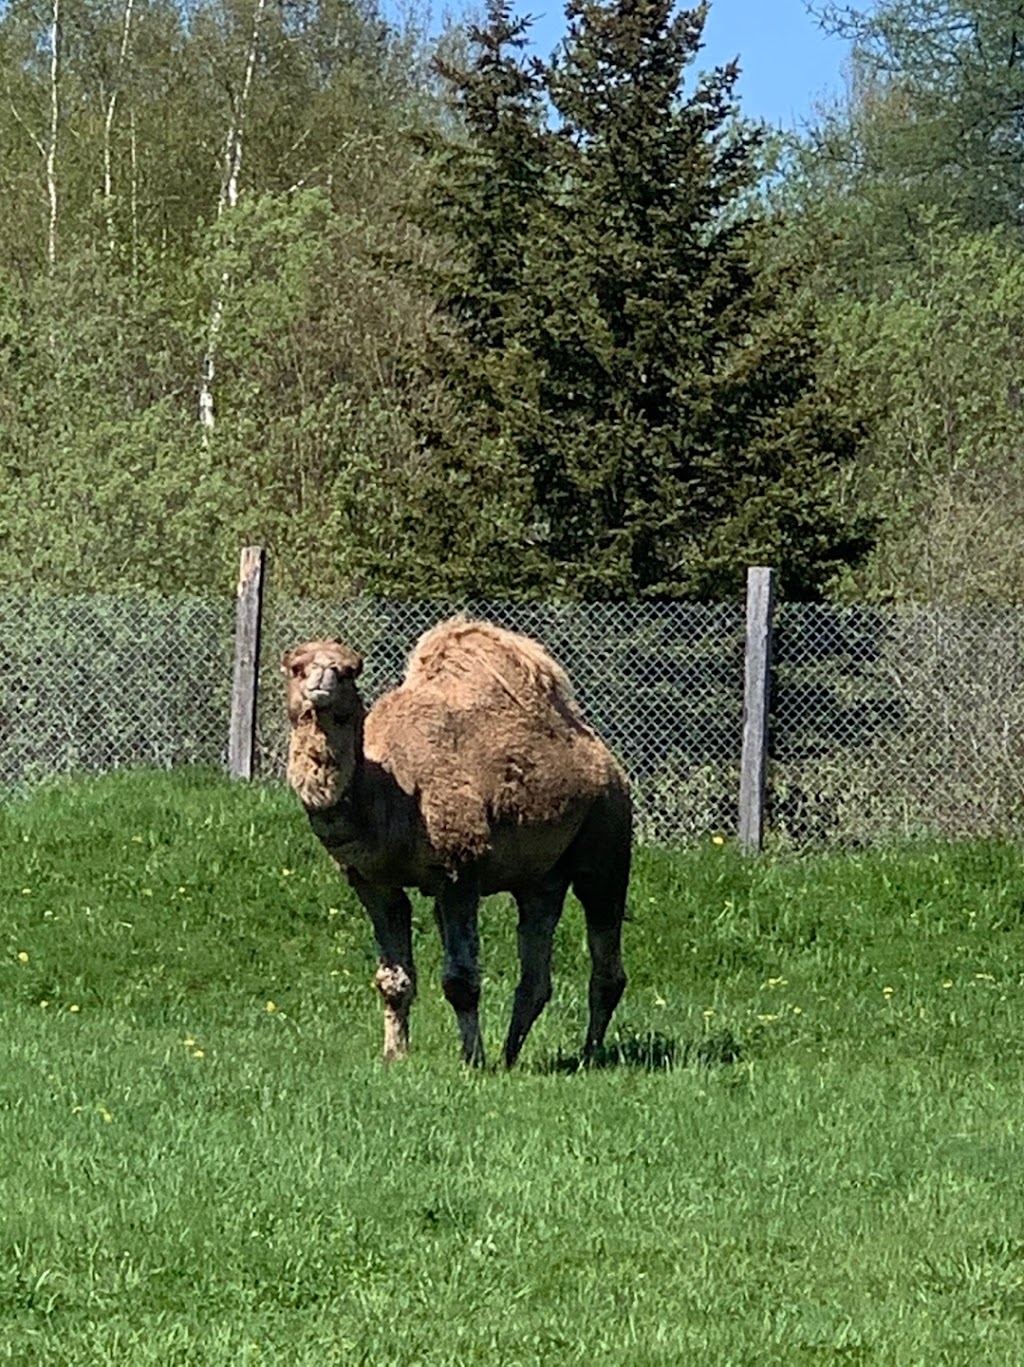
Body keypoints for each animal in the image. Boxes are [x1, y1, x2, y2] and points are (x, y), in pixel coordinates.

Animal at [281, 617, 631, 1066]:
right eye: (297, 667)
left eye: (347, 671)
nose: (321, 683)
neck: (391, 792)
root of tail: (608, 763)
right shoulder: (372, 881)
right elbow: (392, 979)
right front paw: (394, 1056)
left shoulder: (459, 870)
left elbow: (461, 980)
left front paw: (472, 1059)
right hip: (541, 878)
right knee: (536, 962)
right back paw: (510, 1056)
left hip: (606, 838)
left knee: (606, 953)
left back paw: (588, 1054)